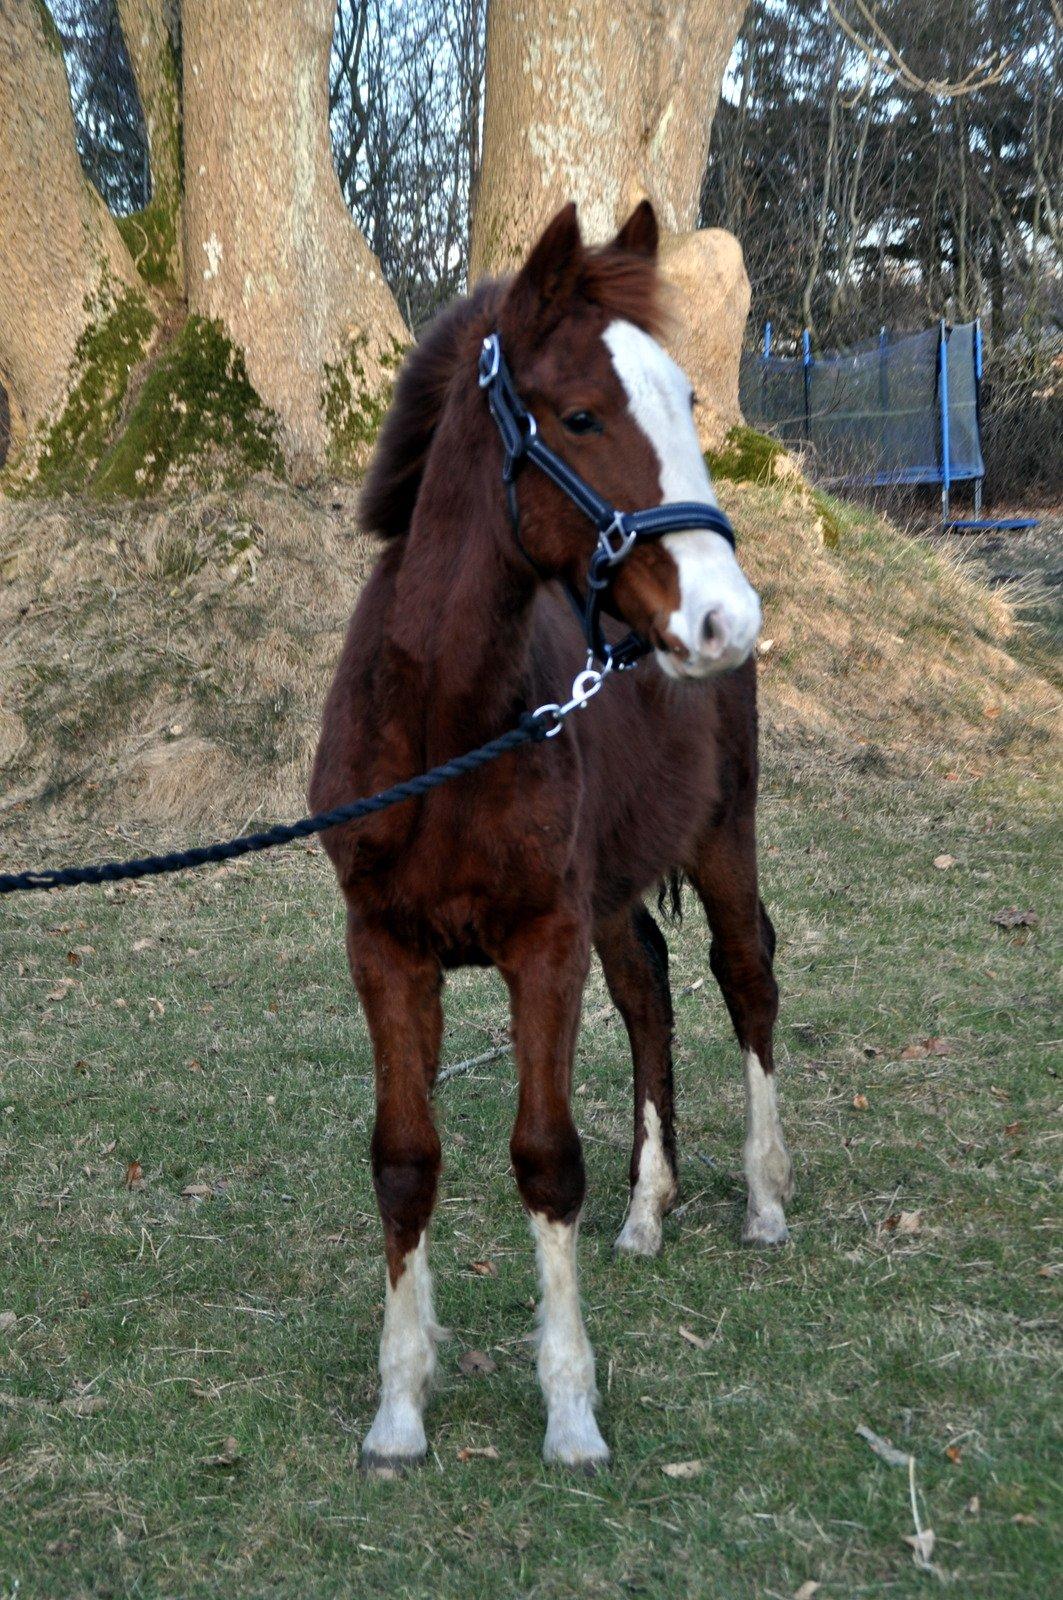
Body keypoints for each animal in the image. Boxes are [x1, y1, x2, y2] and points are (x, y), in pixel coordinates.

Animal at [307, 200, 787, 1472]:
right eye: (580, 415)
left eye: (685, 399)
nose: (724, 618)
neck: (444, 726)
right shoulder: (387, 948)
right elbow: (403, 1158)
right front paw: (399, 1409)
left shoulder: (542, 943)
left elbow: (543, 1157)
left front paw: (570, 1410)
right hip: (613, 889)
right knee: (651, 991)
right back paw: (648, 1210)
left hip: (720, 834)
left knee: (745, 975)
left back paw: (766, 1198)